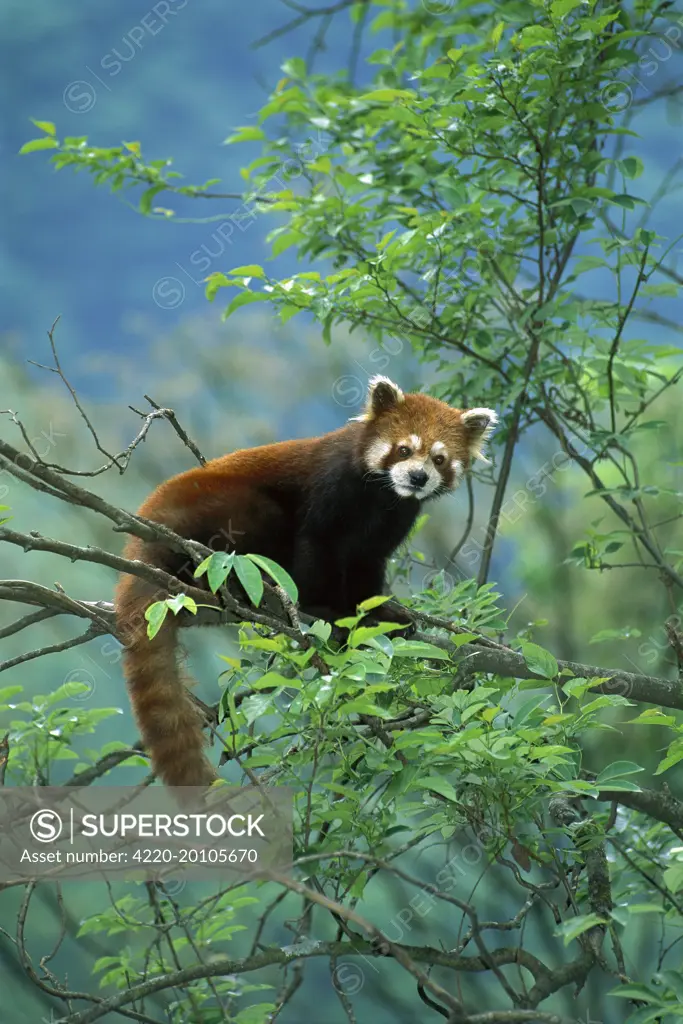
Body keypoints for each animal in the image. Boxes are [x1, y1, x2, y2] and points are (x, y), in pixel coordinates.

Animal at [112, 376, 497, 790]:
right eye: (404, 449)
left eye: (439, 459)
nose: (417, 477)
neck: (381, 497)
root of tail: (142, 538)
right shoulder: (330, 490)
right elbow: (315, 546)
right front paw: (326, 611)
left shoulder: (389, 526)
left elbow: (364, 569)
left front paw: (380, 615)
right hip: (220, 512)